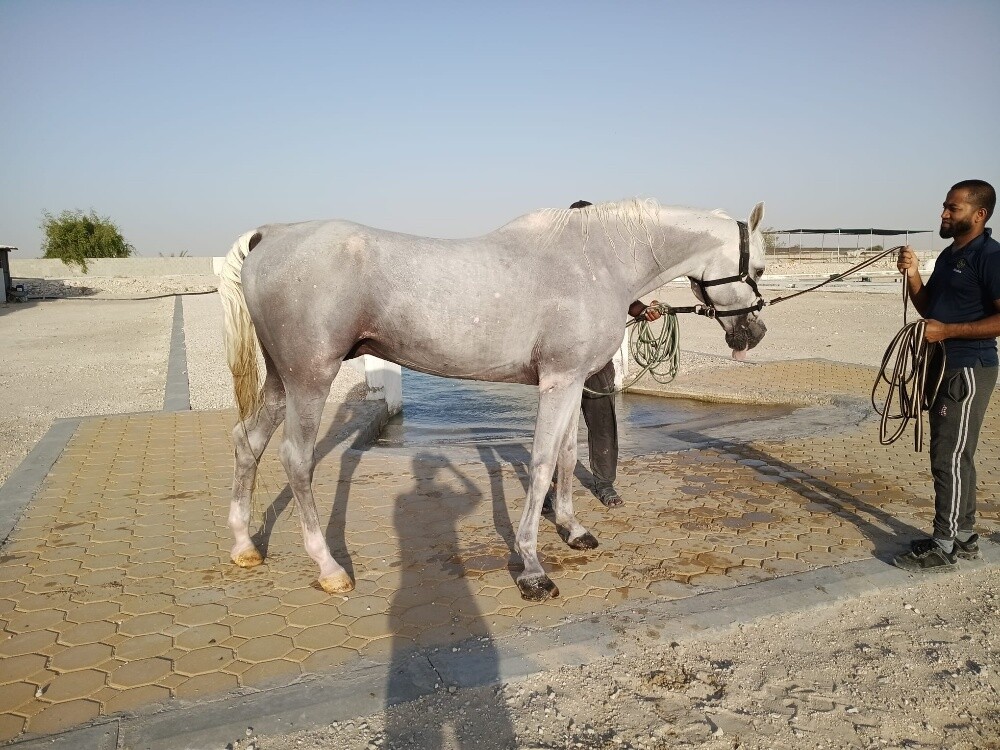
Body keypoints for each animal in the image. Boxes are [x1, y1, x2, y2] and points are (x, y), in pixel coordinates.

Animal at [219, 198, 768, 601]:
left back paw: (245, 545)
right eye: (759, 267)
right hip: (310, 379)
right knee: (296, 460)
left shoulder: (572, 383)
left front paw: (572, 528)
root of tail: (273, 234)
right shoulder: (559, 382)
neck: (595, 263)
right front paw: (532, 567)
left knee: (247, 442)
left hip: (281, 379)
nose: (756, 333)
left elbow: (566, 456)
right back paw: (329, 567)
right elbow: (543, 463)